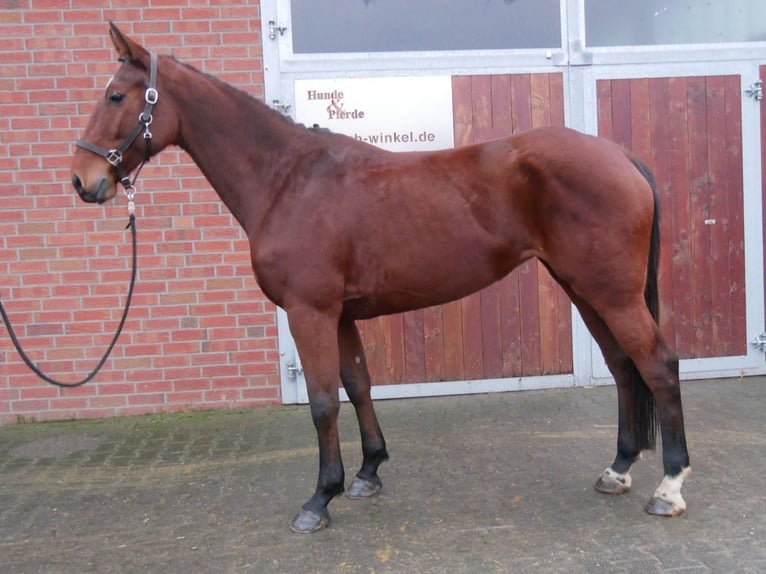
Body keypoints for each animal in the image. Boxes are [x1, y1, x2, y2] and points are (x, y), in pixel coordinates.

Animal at [70, 23, 688, 536]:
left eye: (117, 96)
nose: (83, 180)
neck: (289, 181)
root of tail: (622, 157)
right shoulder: (340, 314)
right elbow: (358, 384)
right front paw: (368, 472)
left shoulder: (310, 311)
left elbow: (323, 401)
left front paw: (319, 499)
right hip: (583, 289)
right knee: (623, 366)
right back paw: (618, 469)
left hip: (611, 293)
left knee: (658, 365)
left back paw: (669, 487)